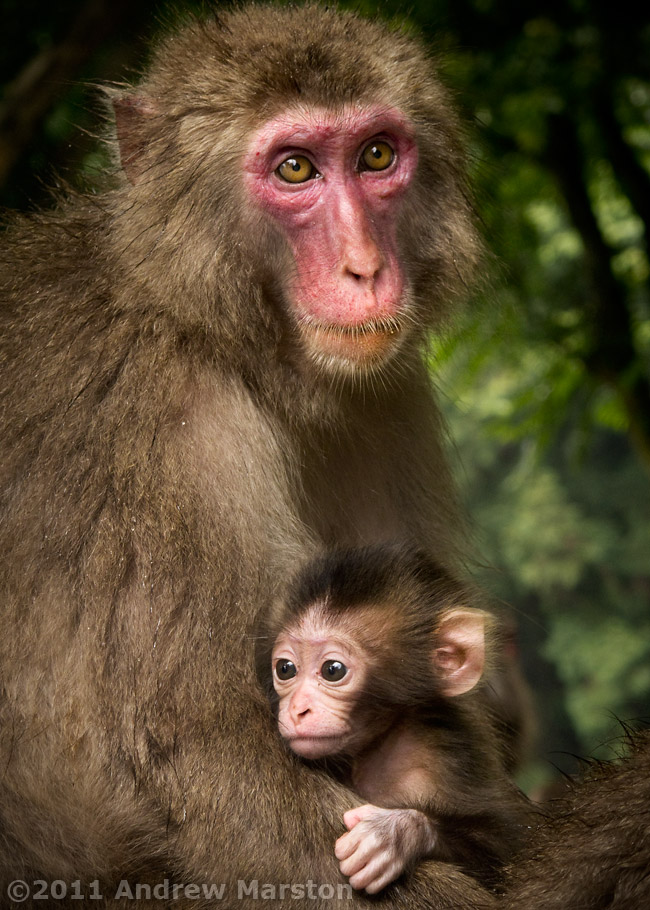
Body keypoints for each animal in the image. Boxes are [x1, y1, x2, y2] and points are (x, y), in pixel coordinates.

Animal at [0, 3, 492, 908]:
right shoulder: (162, 429)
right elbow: (207, 756)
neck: (215, 329)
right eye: (294, 168)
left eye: (376, 155)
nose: (366, 269)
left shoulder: (385, 392)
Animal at [268, 544, 528, 896]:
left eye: (333, 670)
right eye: (285, 669)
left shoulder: (439, 762)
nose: (297, 709)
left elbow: (505, 856)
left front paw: (397, 834)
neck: (386, 740)